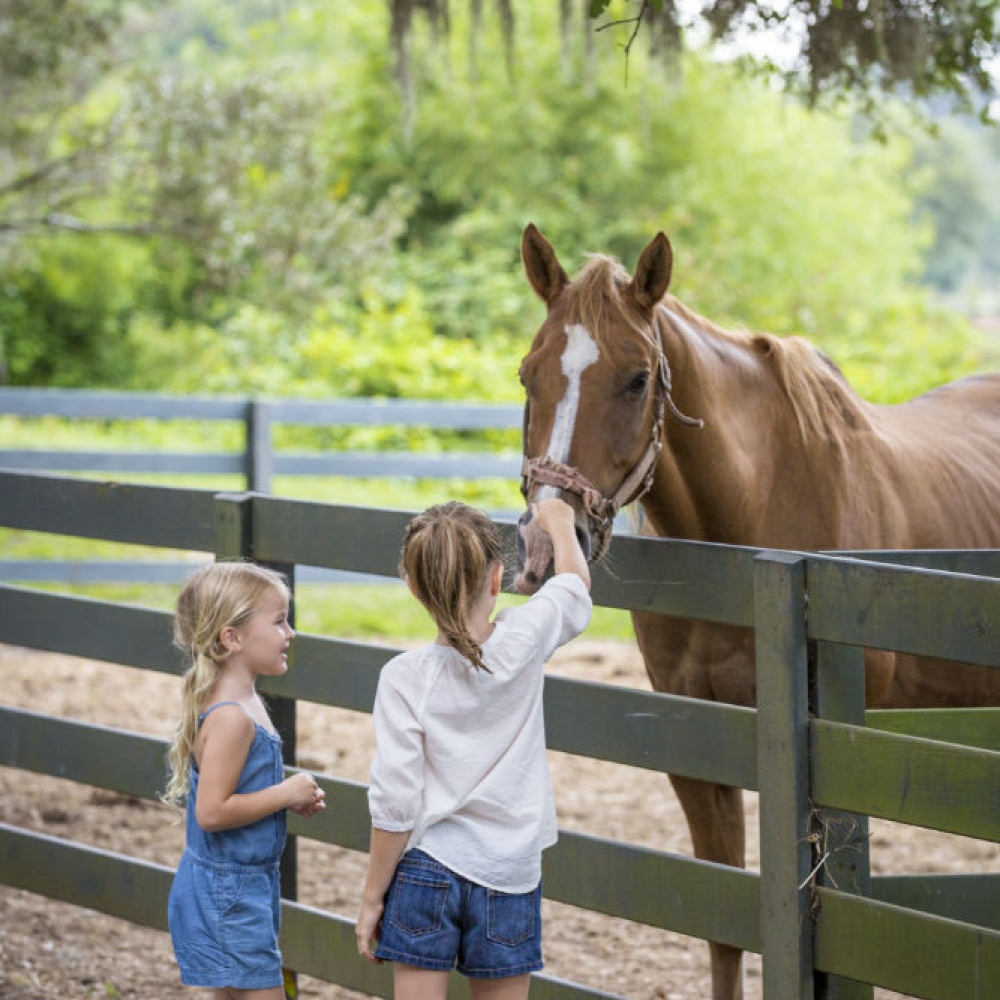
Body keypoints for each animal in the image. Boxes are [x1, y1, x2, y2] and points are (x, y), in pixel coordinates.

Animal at [512, 225, 1000, 1000]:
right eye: (529, 374)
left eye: (637, 378)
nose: (544, 542)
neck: (752, 516)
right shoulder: (693, 739)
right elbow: (723, 917)